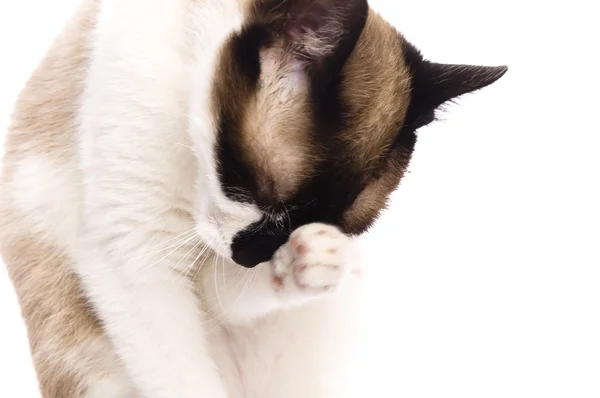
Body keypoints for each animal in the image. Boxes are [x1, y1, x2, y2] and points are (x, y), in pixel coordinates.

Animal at [0, 0, 506, 398]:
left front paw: (310, 261)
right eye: (264, 198)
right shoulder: (136, 255)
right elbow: (185, 381)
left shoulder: (206, 277)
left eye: (323, 223)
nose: (249, 258)